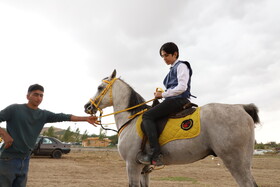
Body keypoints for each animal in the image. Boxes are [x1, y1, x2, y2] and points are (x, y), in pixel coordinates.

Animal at [84, 69, 260, 186]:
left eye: (100, 88)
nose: (87, 107)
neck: (130, 120)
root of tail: (241, 107)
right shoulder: (144, 169)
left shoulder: (132, 166)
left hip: (236, 163)